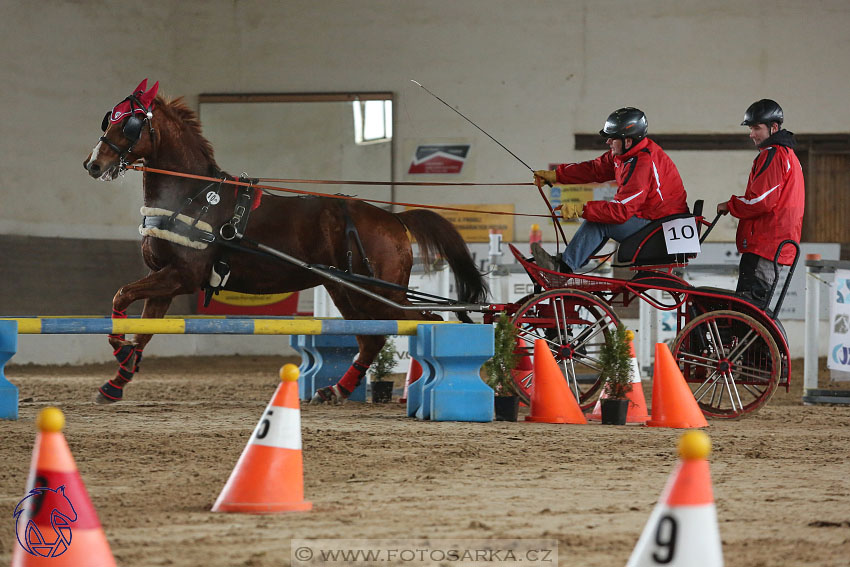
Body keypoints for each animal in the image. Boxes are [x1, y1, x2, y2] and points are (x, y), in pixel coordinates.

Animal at [83, 80, 486, 406]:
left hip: (378, 293)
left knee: (425, 320)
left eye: (130, 122)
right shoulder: (165, 279)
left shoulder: (182, 276)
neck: (194, 195)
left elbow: (121, 297)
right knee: (373, 339)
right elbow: (144, 331)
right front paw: (116, 382)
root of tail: (393, 218)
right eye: (109, 119)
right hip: (346, 290)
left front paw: (120, 351)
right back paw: (337, 390)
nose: (93, 164)